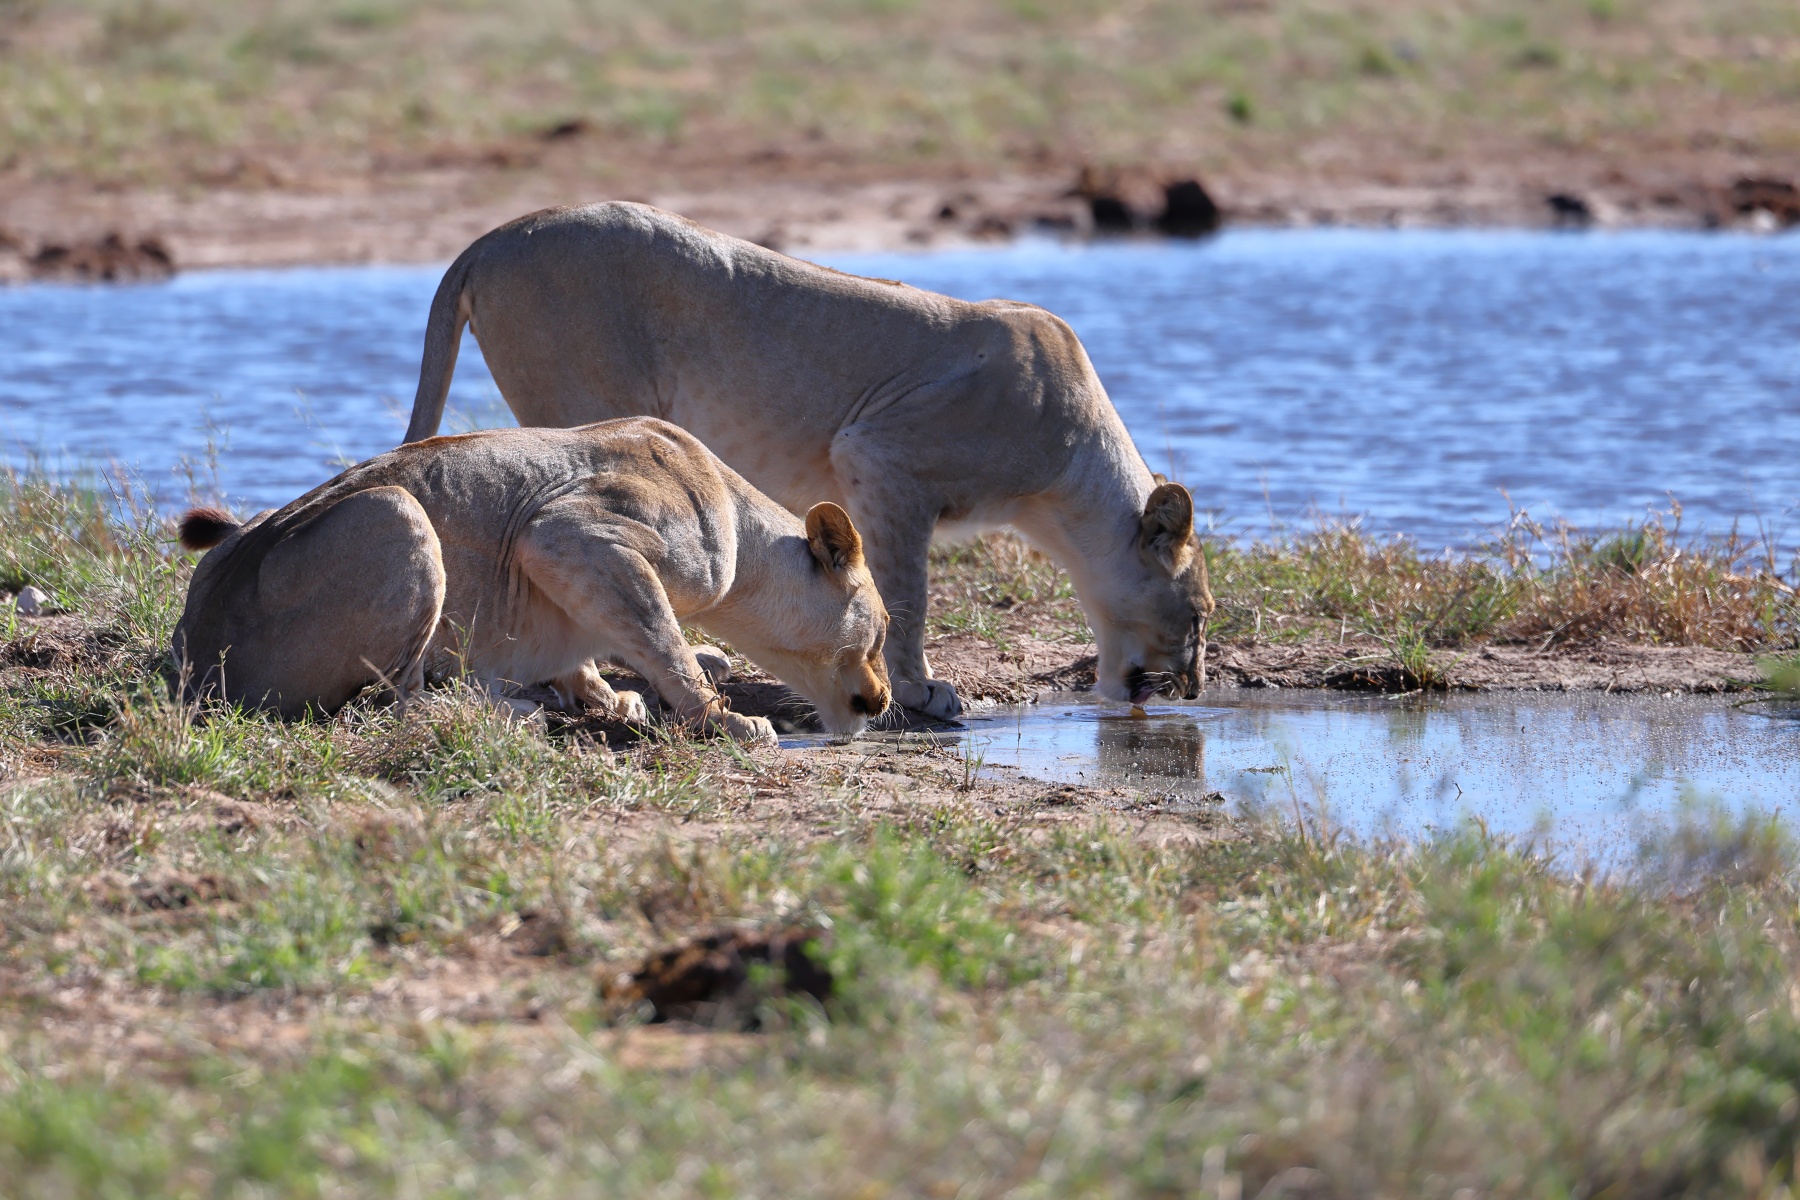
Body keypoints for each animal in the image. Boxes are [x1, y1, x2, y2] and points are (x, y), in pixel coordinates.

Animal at [172, 417, 890, 743]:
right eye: (882, 631)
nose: (881, 702)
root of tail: (191, 662)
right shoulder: (567, 532)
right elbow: (666, 641)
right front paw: (724, 720)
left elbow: (603, 648)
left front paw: (608, 697)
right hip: (395, 512)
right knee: (392, 704)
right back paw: (510, 711)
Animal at [402, 203, 1214, 718]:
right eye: (1201, 613)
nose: (1195, 691)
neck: (1065, 492)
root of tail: (491, 237)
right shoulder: (878, 454)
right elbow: (909, 595)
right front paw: (922, 690)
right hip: (584, 393)